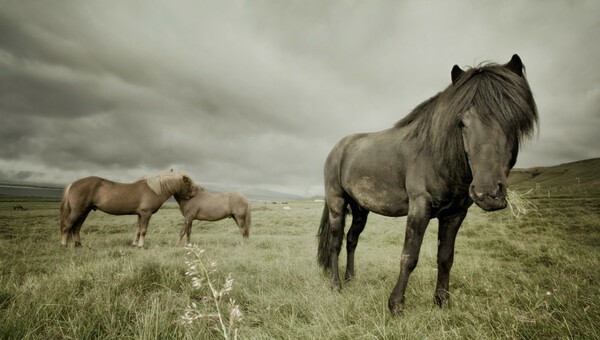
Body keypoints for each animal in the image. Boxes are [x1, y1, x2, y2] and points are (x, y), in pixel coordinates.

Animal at [58, 173, 196, 247]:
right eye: (188, 184)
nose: (193, 195)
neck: (154, 190)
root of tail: (73, 184)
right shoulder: (146, 214)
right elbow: (143, 231)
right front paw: (141, 245)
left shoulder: (140, 214)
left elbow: (138, 230)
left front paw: (135, 244)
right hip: (77, 211)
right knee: (67, 226)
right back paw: (64, 244)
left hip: (84, 212)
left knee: (76, 227)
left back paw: (79, 245)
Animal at [318, 54, 540, 314]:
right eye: (462, 123)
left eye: (514, 119)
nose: (488, 193)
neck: (437, 156)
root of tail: (338, 148)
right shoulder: (419, 208)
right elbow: (409, 256)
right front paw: (396, 305)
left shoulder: (455, 214)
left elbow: (445, 258)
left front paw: (442, 301)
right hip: (337, 202)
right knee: (335, 242)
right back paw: (336, 285)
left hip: (361, 208)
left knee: (352, 239)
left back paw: (351, 277)